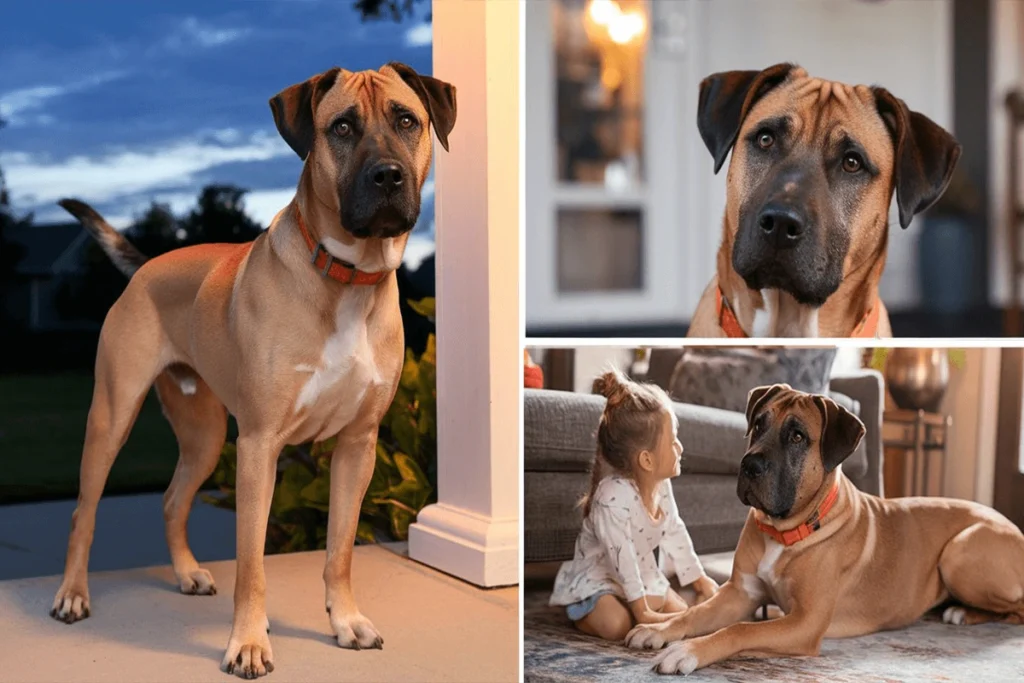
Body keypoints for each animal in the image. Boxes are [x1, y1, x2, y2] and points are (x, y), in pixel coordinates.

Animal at [49, 62, 458, 679]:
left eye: (407, 120)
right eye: (341, 126)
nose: (387, 177)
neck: (346, 278)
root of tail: (147, 266)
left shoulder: (358, 445)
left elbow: (339, 552)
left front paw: (345, 621)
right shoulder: (260, 445)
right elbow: (252, 562)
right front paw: (248, 642)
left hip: (204, 435)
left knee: (172, 501)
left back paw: (186, 572)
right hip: (112, 418)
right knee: (82, 513)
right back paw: (73, 594)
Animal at [622, 385, 1024, 679]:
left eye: (798, 436)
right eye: (758, 425)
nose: (749, 465)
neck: (785, 530)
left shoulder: (805, 622)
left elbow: (741, 630)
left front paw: (687, 650)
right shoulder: (738, 594)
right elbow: (693, 613)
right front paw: (660, 629)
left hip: (960, 550)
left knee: (1017, 608)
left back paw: (963, 613)